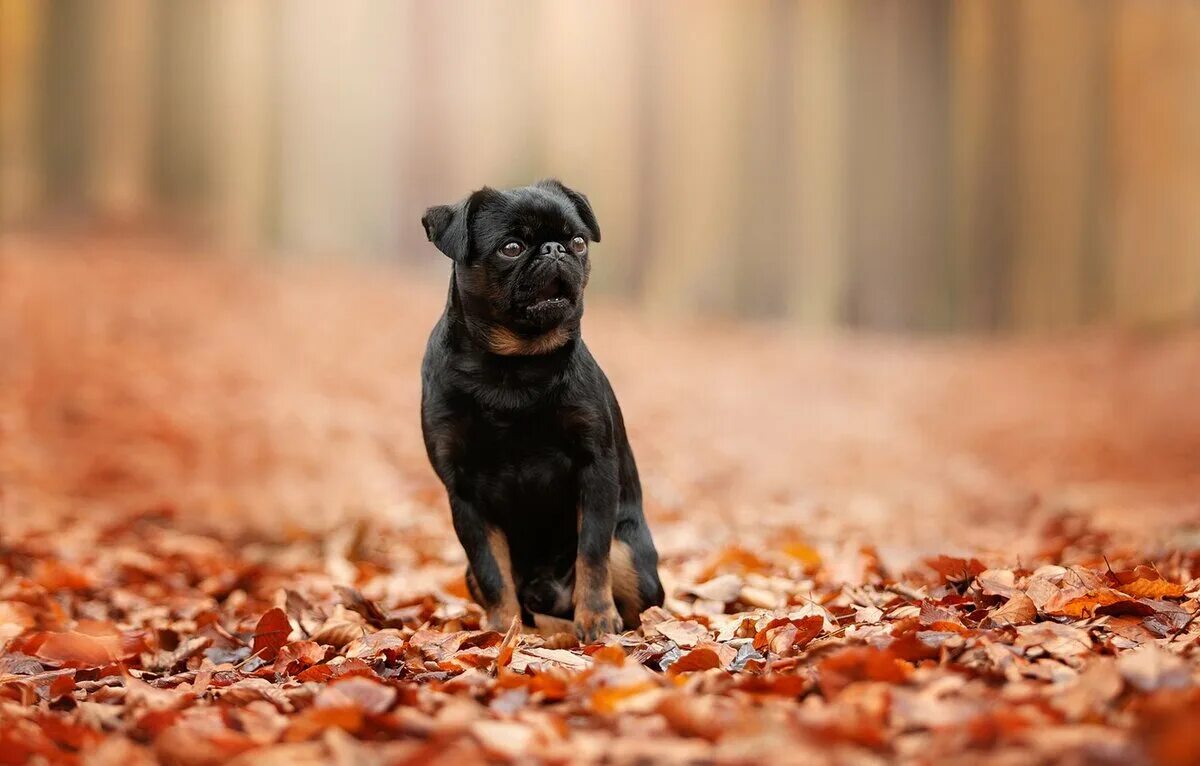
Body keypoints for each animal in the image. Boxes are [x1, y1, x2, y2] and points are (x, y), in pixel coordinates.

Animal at [422, 180, 667, 643]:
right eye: (512, 248)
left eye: (579, 242)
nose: (555, 249)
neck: (514, 369)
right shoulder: (463, 492)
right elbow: (492, 570)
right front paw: (503, 630)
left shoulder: (595, 468)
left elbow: (592, 552)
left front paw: (597, 619)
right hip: (468, 574)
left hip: (628, 553)